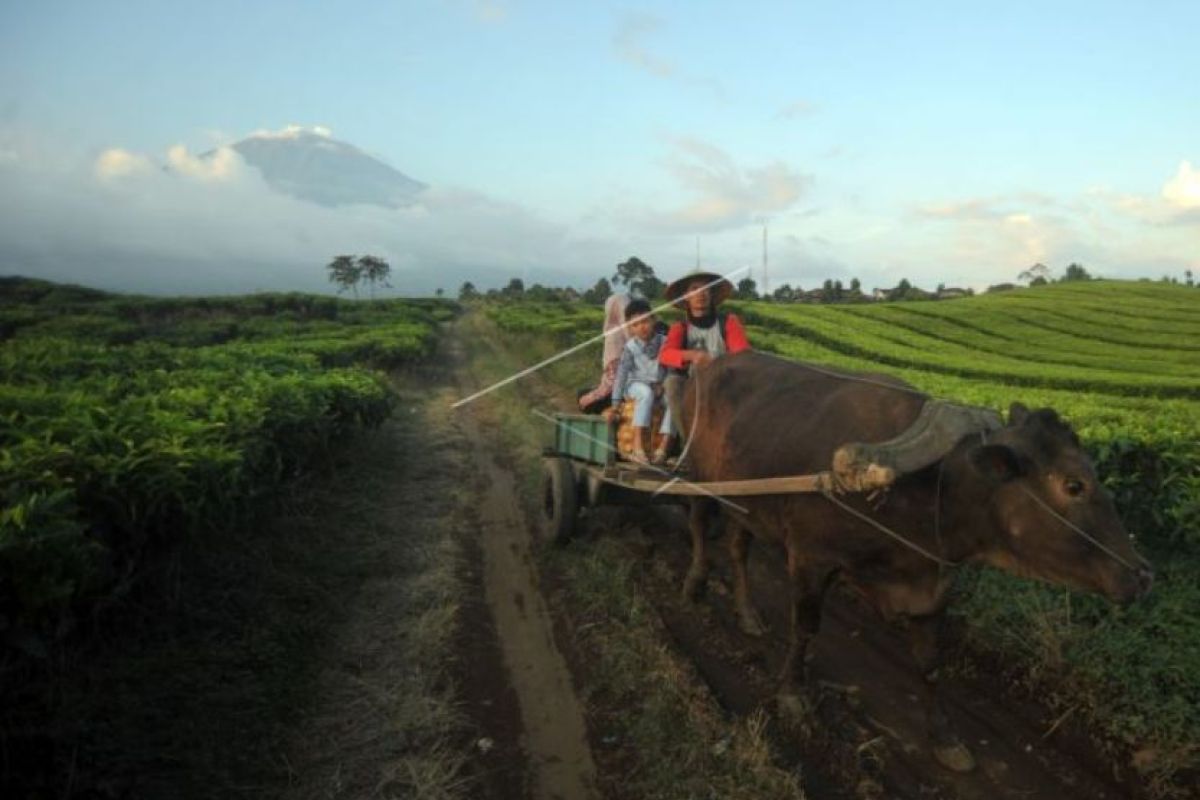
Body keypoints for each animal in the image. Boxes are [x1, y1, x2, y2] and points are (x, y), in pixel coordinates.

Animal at [676, 347, 1152, 767]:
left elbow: (930, 664)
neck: (930, 489)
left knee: (738, 548)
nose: (1141, 574)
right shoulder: (811, 558)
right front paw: (793, 693)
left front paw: (944, 737)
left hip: (746, 502)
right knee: (699, 525)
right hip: (698, 475)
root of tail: (710, 366)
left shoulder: (932, 591)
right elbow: (805, 629)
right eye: (1074, 485)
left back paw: (746, 612)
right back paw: (695, 583)